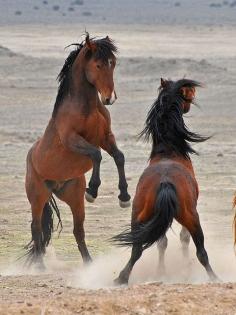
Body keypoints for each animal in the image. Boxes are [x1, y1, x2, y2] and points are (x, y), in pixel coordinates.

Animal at [25, 34, 131, 266]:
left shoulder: (105, 137)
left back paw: (88, 264)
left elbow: (119, 156)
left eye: (113, 63)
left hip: (73, 198)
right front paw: (93, 190)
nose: (109, 98)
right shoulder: (72, 140)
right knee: (36, 229)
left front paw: (124, 196)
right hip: (37, 197)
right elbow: (96, 155)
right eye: (98, 65)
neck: (86, 107)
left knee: (77, 231)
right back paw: (40, 267)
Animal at [114, 78, 218, 284]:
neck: (168, 152)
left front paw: (161, 271)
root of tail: (165, 183)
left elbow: (162, 242)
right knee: (201, 252)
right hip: (192, 218)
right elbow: (184, 239)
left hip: (139, 217)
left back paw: (122, 277)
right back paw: (214, 277)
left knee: (137, 249)